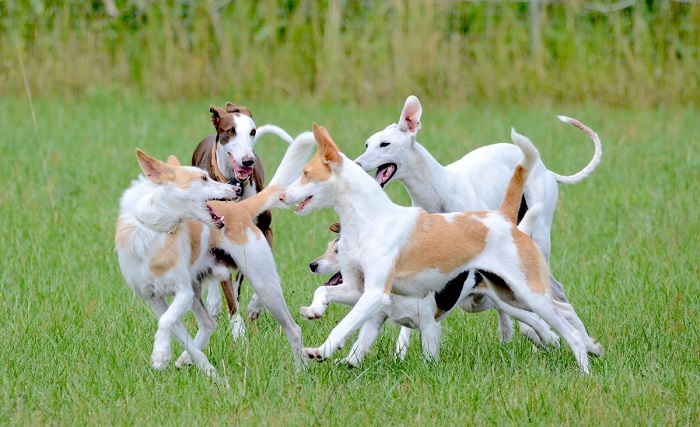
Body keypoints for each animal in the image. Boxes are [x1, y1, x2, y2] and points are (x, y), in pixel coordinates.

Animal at [116, 133, 314, 378]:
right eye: (203, 178)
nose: (235, 189)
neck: (156, 231)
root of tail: (241, 209)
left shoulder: (183, 291)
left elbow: (166, 321)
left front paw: (160, 354)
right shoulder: (153, 298)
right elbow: (175, 327)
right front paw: (195, 364)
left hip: (263, 284)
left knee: (293, 328)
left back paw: (301, 370)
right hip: (199, 288)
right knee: (208, 323)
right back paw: (193, 363)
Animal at [280, 123, 600, 374]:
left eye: (306, 173)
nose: (281, 196)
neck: (370, 217)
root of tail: (504, 218)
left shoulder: (374, 295)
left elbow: (344, 326)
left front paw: (321, 351)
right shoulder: (356, 288)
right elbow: (325, 292)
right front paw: (314, 311)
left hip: (526, 291)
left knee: (566, 326)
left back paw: (583, 366)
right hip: (510, 293)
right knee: (561, 309)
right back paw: (592, 347)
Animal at [356, 96, 600, 348]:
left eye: (384, 144)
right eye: (367, 144)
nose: (356, 164)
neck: (438, 189)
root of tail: (547, 169)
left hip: (538, 240)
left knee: (552, 290)